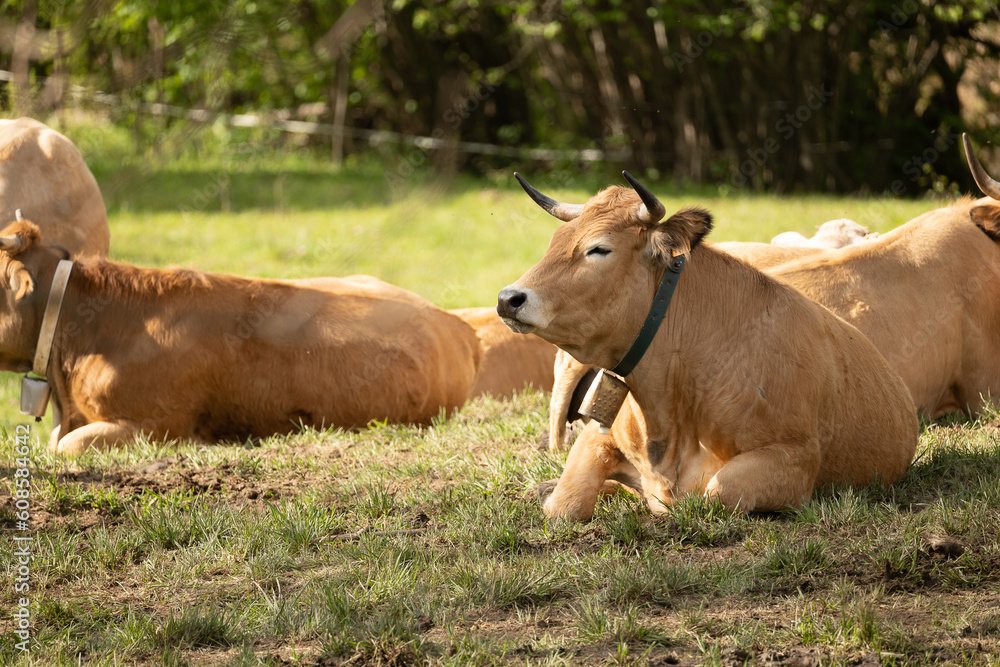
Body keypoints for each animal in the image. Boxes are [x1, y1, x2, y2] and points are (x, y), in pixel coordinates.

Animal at [497, 172, 918, 519]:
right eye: (555, 242)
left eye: (598, 249)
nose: (508, 298)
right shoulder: (597, 437)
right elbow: (566, 504)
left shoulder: (794, 458)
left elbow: (716, 492)